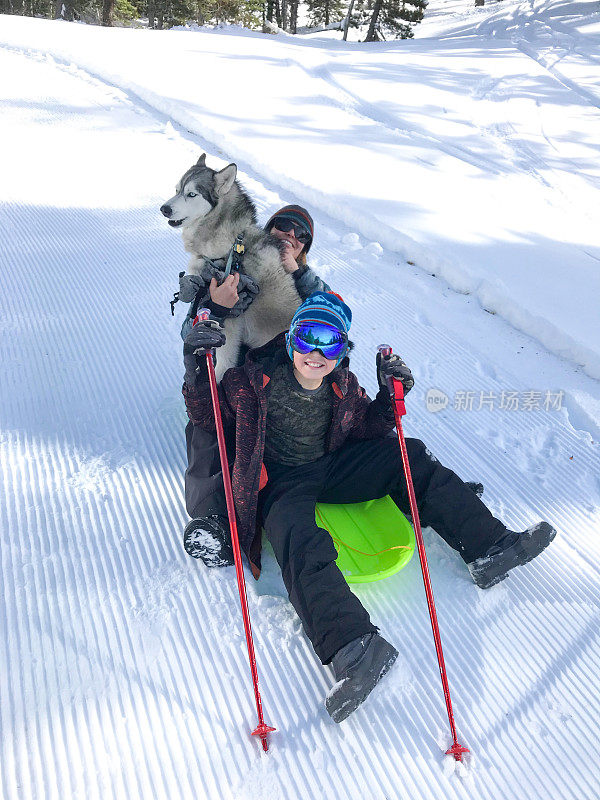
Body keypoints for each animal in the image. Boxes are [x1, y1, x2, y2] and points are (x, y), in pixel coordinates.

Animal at [161, 158, 302, 382]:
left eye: (191, 194)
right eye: (177, 190)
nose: (164, 208)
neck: (231, 243)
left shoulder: (232, 322)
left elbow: (224, 362)